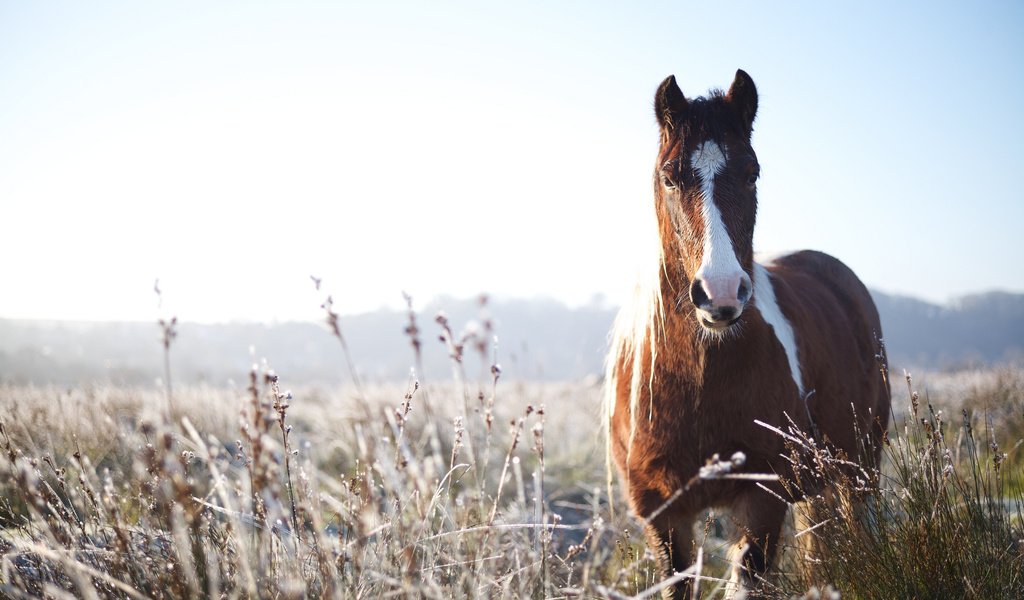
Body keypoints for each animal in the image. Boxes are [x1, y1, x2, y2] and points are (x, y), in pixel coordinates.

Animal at [602, 70, 892, 593]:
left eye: (752, 172)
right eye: (670, 176)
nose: (720, 293)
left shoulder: (762, 498)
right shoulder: (662, 514)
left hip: (858, 469)